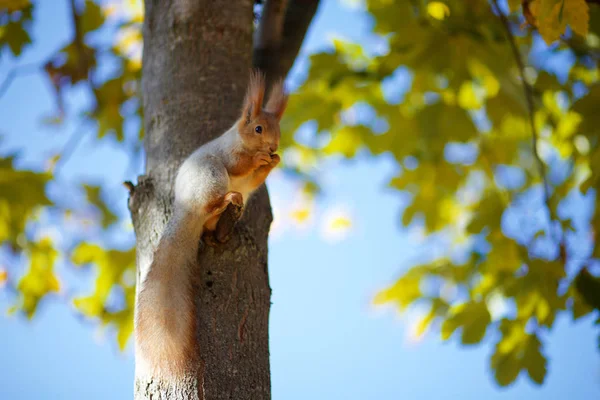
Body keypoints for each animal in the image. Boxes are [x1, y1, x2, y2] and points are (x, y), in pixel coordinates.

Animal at [134, 70, 288, 380]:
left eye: (278, 129)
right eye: (258, 128)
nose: (273, 147)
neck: (239, 138)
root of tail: (186, 209)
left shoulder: (253, 179)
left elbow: (256, 178)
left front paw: (273, 161)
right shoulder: (228, 153)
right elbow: (239, 164)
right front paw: (259, 158)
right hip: (212, 175)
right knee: (213, 201)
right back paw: (226, 199)